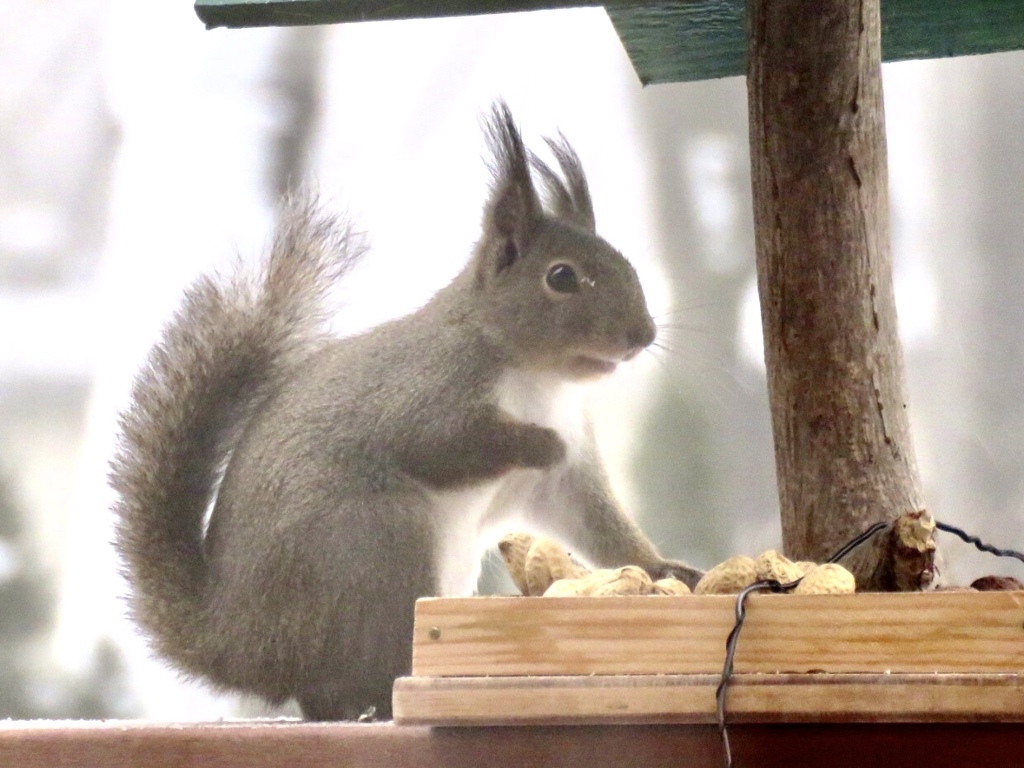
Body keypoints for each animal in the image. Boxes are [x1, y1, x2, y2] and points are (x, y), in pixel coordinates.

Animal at [112, 103, 704, 720]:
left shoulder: (566, 475)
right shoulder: (424, 395)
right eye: (560, 276)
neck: (537, 377)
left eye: (627, 265)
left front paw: (666, 570)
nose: (643, 335)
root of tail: (243, 645)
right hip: (379, 540)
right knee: (341, 691)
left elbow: (598, 524)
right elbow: (443, 445)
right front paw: (538, 442)